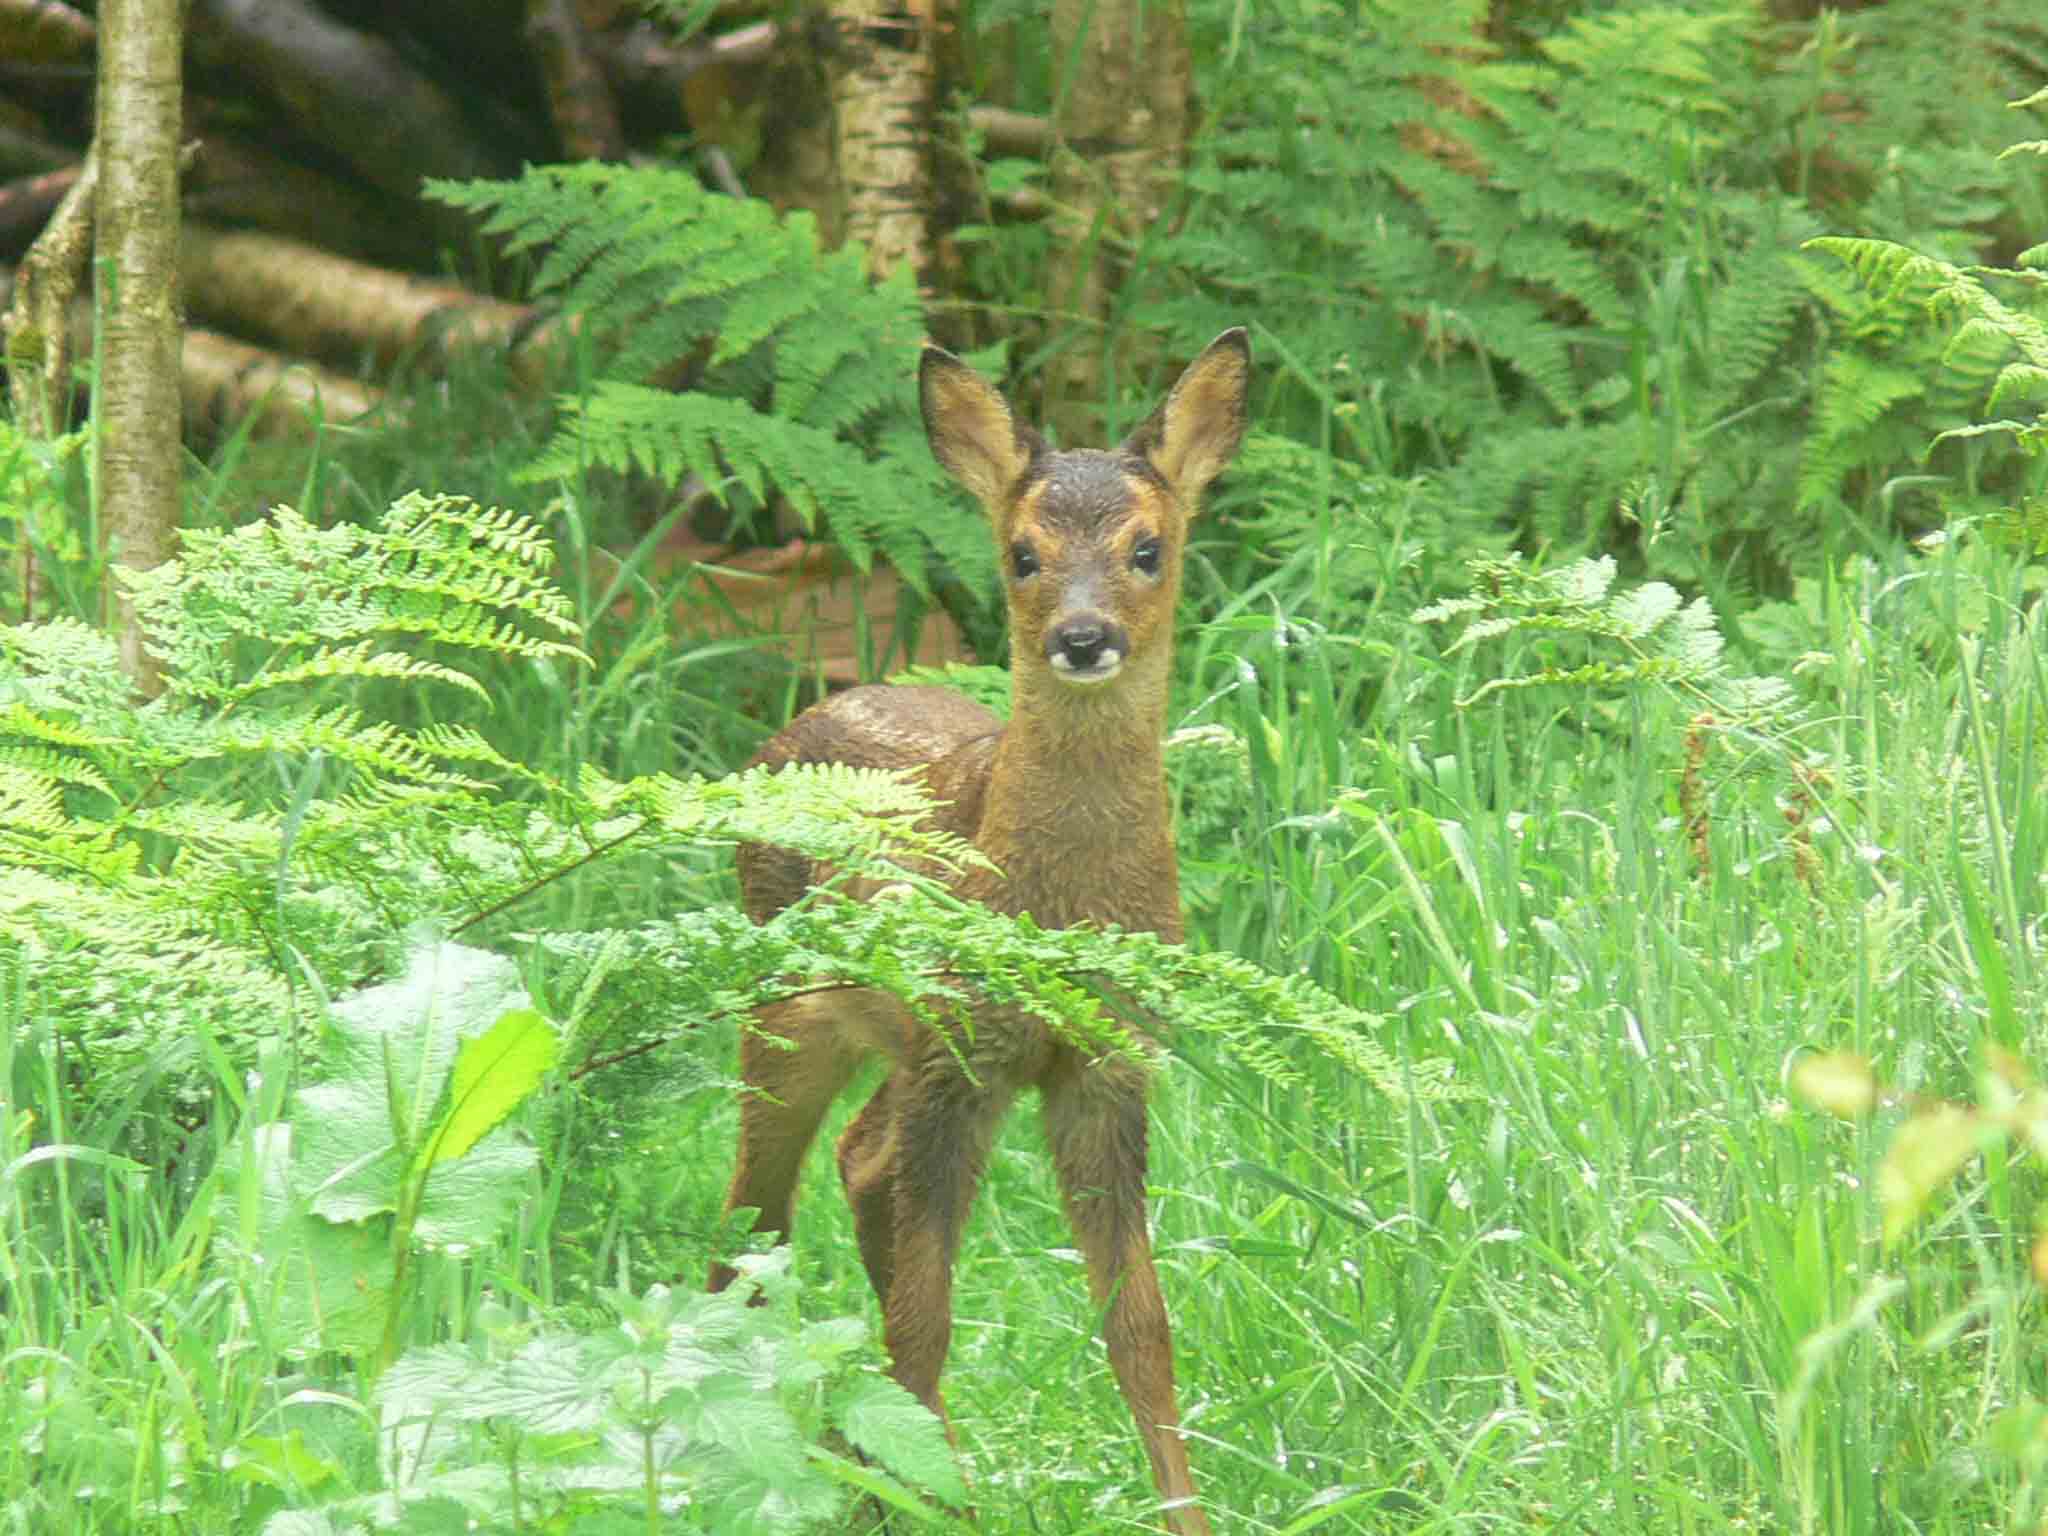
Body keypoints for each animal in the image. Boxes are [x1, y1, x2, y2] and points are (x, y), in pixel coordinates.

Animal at [710, 328, 1249, 1536]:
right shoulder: (962, 1053)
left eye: (1149, 549)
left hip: (909, 1047)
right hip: (792, 1011)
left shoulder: (1102, 1062)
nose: (1083, 638)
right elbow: (924, 1320)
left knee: (858, 1165)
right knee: (753, 1216)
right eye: (1020, 553)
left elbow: (1142, 1329)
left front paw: (1186, 1515)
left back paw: (921, 1472)